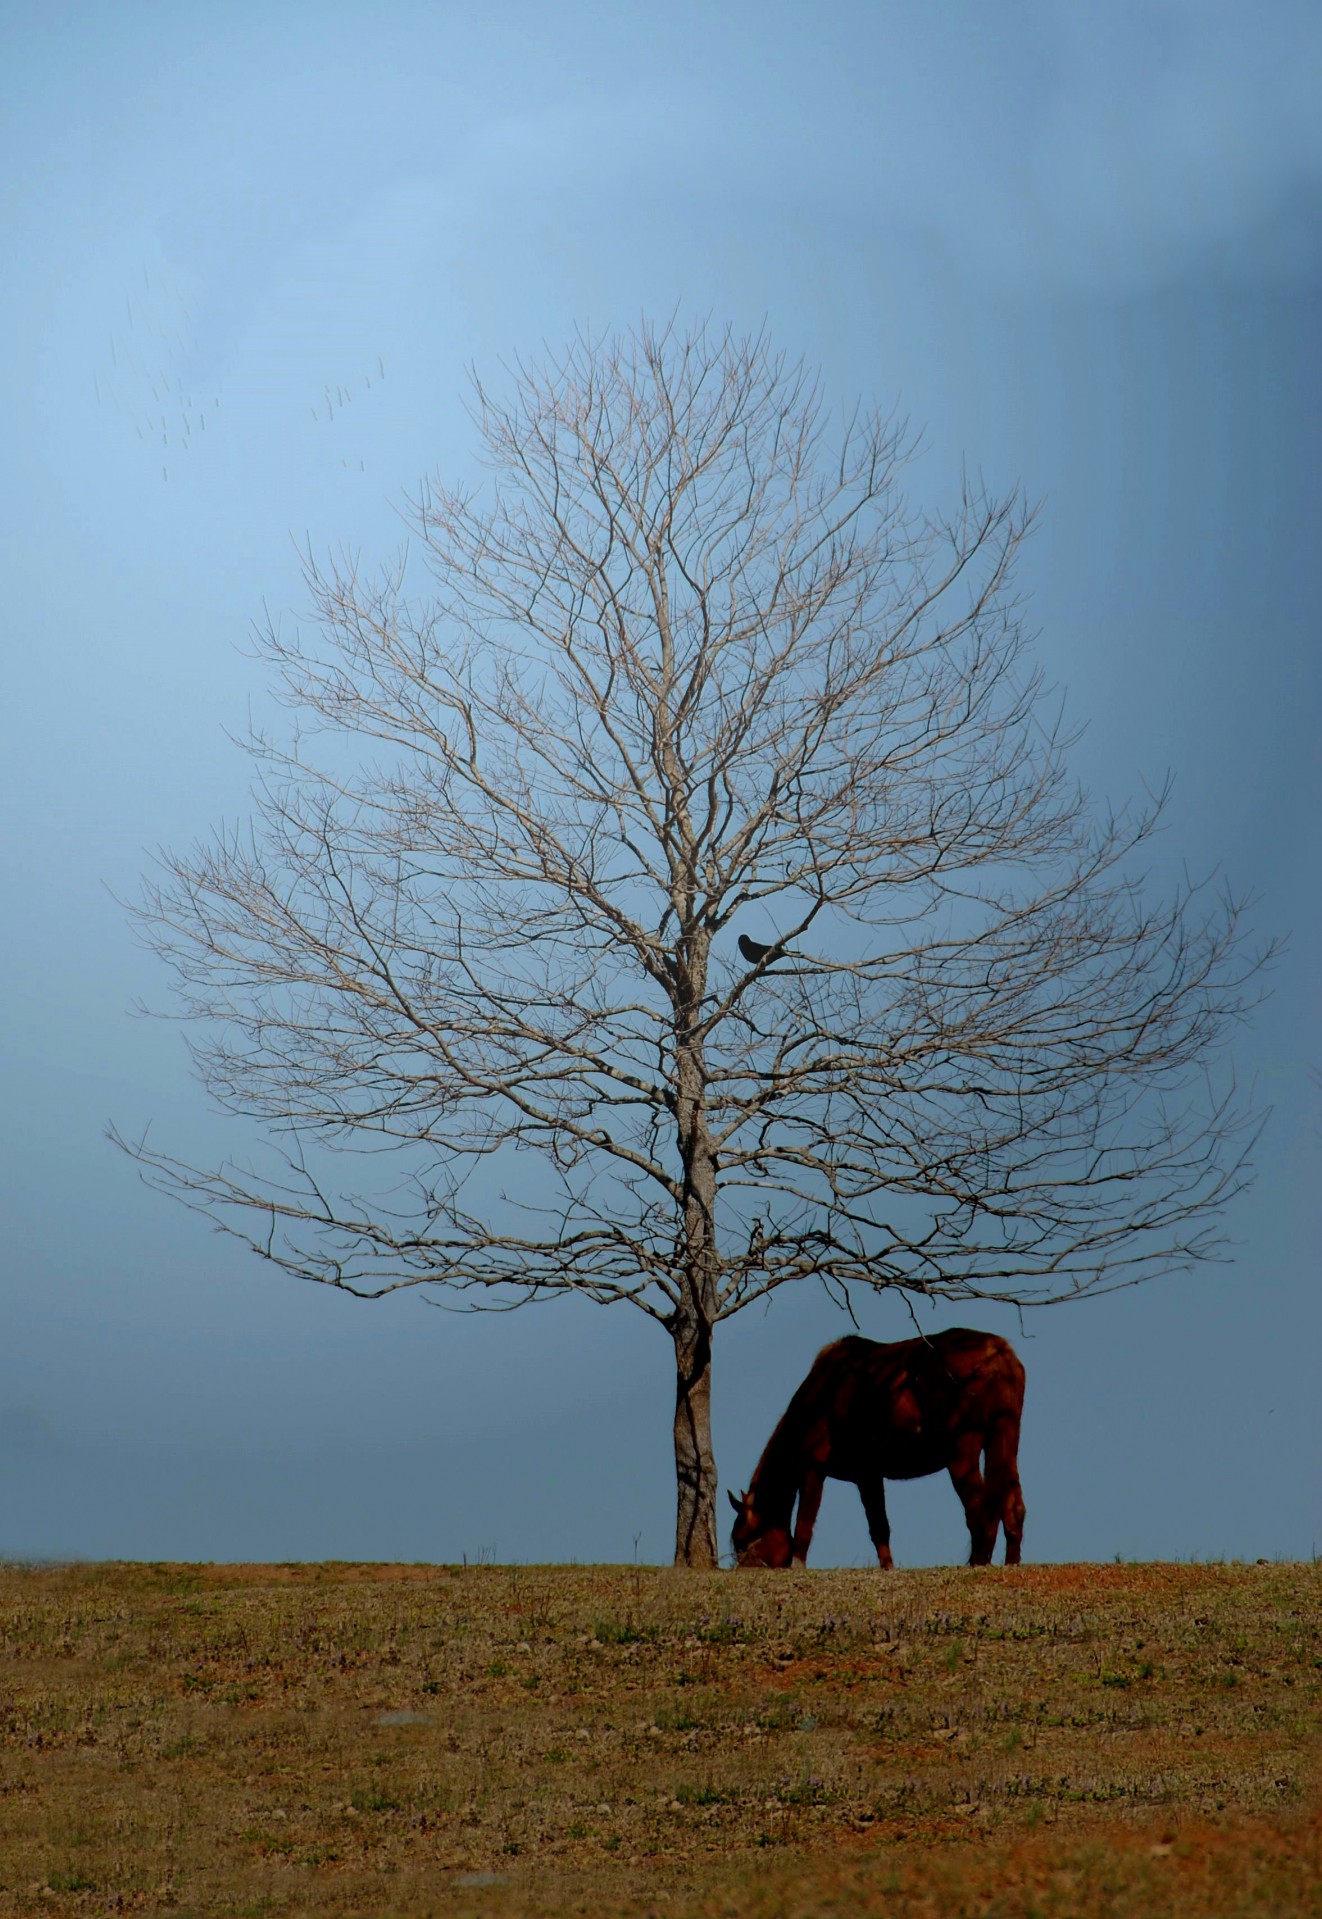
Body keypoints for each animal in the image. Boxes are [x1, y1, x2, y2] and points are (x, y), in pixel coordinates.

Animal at [725, 1327, 1028, 1565]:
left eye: (743, 1540)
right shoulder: (868, 1475)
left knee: (981, 1511)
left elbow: (804, 1524)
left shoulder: (813, 1467)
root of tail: (999, 1353)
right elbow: (879, 1528)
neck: (819, 1393)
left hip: (961, 1452)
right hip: (1005, 1437)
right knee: (1013, 1508)